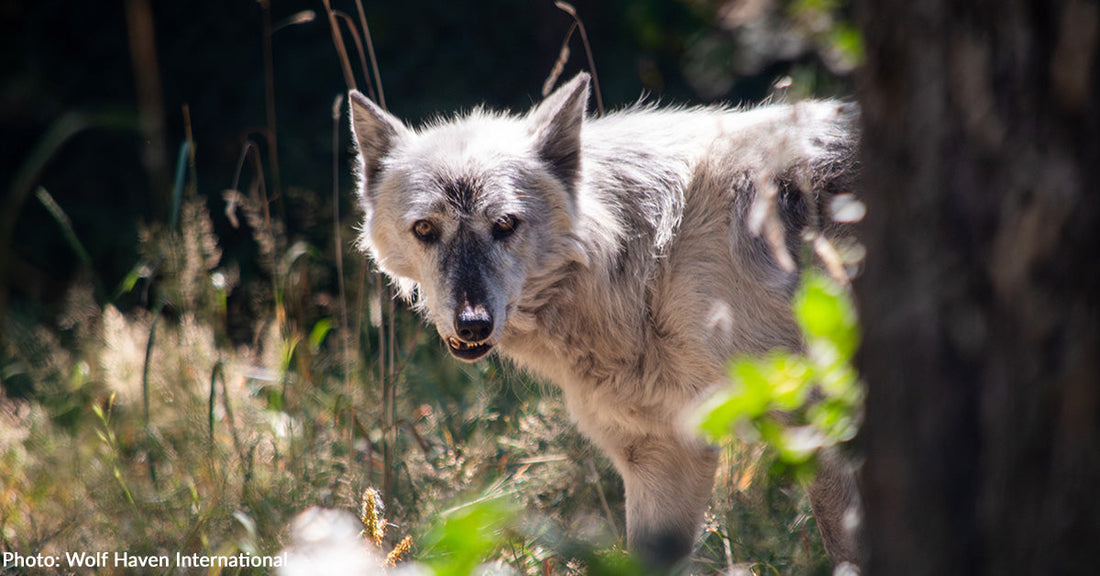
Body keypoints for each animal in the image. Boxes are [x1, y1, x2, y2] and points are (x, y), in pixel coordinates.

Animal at [348, 72, 862, 569]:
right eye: (425, 229)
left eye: (505, 225)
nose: (472, 323)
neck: (651, 255)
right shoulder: (661, 453)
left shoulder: (820, 425)